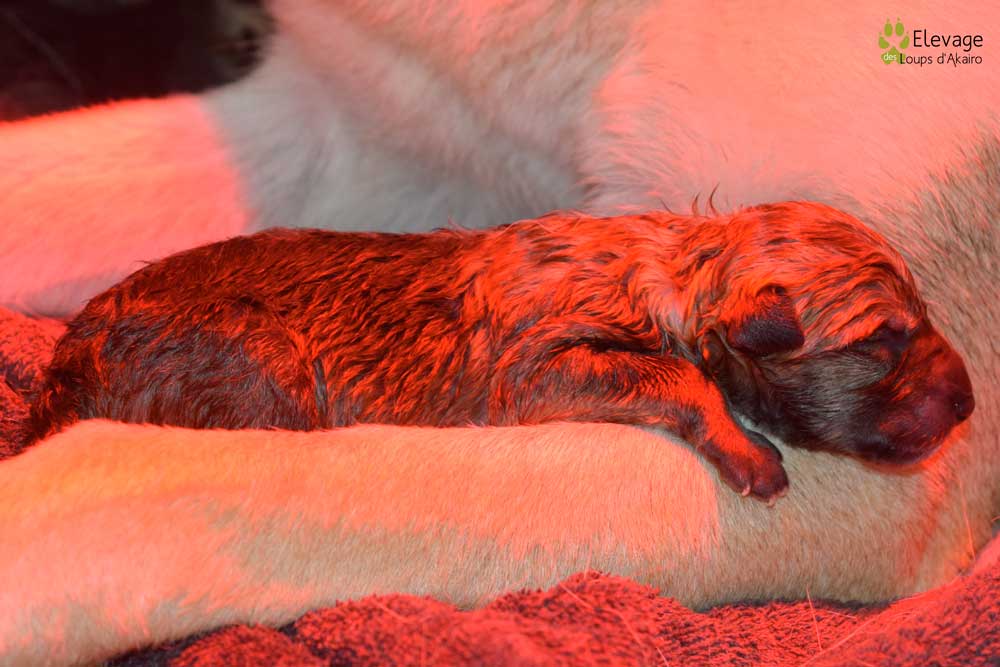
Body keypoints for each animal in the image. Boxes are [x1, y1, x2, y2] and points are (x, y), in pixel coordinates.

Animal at [27, 202, 973, 502]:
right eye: (883, 339)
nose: (970, 403)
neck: (667, 279)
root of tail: (62, 367)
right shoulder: (538, 366)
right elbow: (676, 372)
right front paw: (746, 448)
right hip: (261, 355)